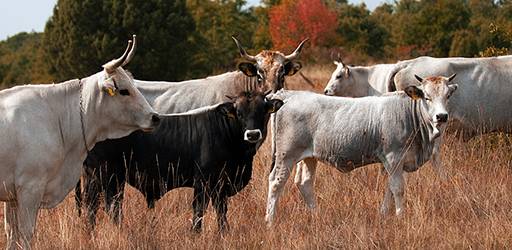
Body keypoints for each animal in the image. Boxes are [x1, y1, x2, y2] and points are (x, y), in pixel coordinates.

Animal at [0, 36, 158, 249]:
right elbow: (25, 235)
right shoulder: (29, 188)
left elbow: (11, 235)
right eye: (124, 91)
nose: (155, 117)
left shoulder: (12, 195)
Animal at [75, 91, 282, 231]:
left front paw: (223, 234)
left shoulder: (221, 185)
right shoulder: (203, 181)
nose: (253, 134)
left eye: (263, 111)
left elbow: (221, 212)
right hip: (101, 175)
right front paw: (195, 234)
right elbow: (199, 211)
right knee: (97, 206)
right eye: (238, 113)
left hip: (110, 178)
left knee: (108, 207)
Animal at [266, 75, 458, 226]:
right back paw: (269, 221)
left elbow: (389, 188)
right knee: (276, 183)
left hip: (309, 157)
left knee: (304, 183)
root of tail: (289, 94)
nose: (441, 116)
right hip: (286, 155)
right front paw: (400, 216)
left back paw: (317, 215)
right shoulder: (394, 158)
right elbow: (398, 188)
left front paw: (383, 214)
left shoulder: (398, 162)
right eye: (426, 97)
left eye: (448, 95)